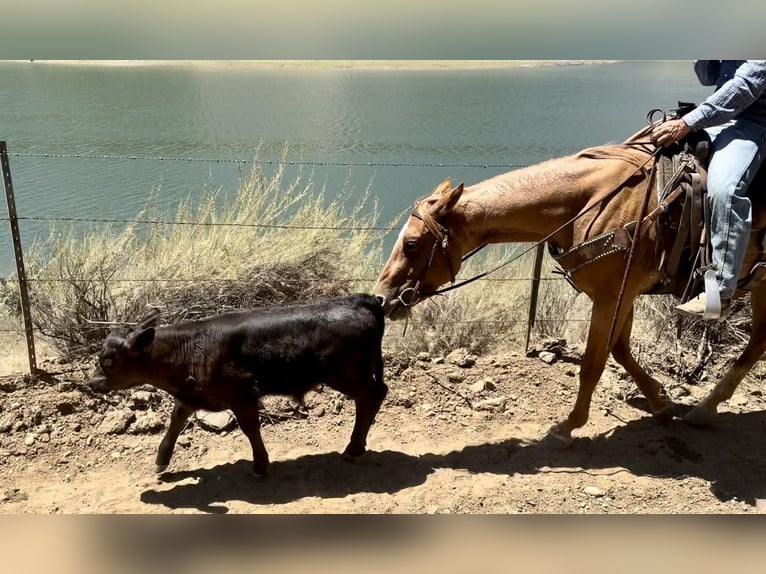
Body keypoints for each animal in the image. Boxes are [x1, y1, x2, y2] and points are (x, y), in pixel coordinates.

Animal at [376, 128, 766, 448]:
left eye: (412, 244)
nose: (382, 298)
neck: (598, 203)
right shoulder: (621, 295)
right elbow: (621, 351)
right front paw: (660, 400)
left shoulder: (611, 296)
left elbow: (594, 362)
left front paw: (568, 426)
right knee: (757, 342)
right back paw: (705, 409)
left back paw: (705, 408)